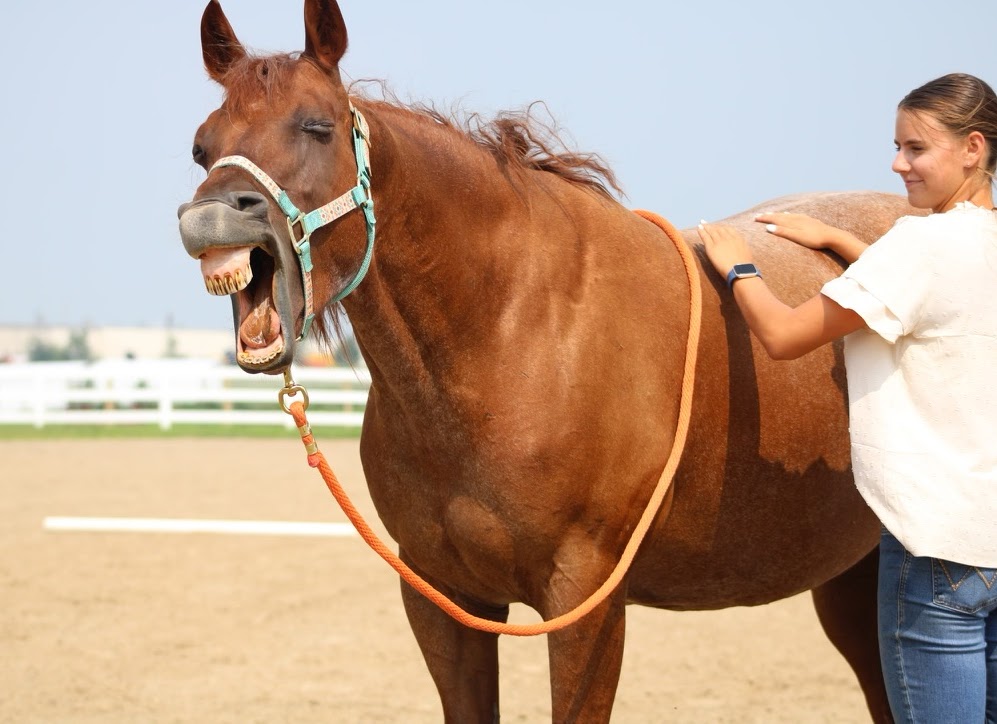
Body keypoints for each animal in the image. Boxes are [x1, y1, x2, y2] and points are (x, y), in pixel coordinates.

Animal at [177, 2, 915, 720]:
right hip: (854, 578)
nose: (211, 219)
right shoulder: (443, 599)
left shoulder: (585, 601)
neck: (512, 335)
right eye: (201, 146)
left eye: (316, 126)